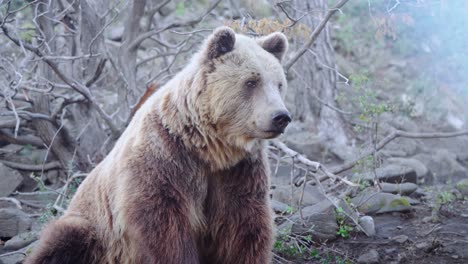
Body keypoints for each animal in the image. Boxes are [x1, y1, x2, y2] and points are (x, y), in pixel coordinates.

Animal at [25, 26, 290, 264]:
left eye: (279, 83)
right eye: (251, 81)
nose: (281, 116)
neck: (209, 147)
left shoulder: (237, 172)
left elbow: (242, 227)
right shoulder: (163, 158)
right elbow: (164, 225)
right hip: (94, 230)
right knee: (65, 241)